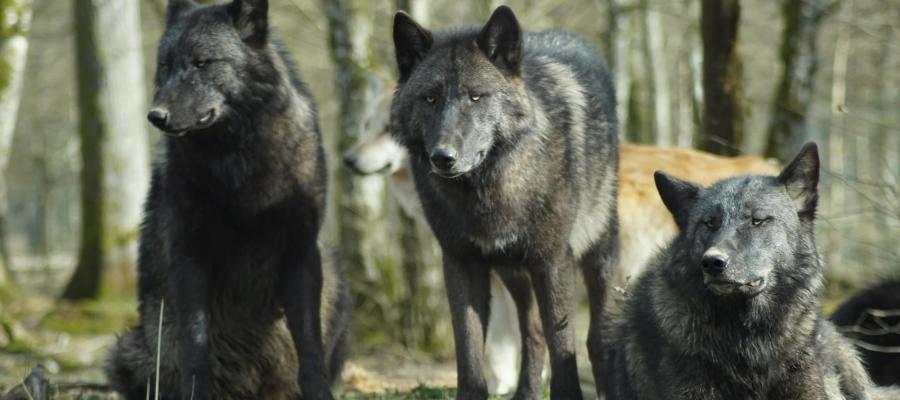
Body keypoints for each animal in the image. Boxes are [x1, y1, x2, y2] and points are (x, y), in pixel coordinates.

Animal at [105, 1, 351, 399]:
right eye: (165, 66)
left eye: (202, 63)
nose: (156, 116)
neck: (239, 162)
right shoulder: (189, 255)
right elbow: (196, 345)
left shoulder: (301, 251)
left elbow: (310, 345)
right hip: (130, 349)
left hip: (335, 274)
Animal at [391, 6, 618, 398]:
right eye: (430, 98)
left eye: (475, 97)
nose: (443, 158)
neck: (487, 192)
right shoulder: (461, 262)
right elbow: (468, 353)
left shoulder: (552, 261)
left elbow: (564, 347)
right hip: (513, 273)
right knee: (533, 333)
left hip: (597, 253)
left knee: (595, 337)